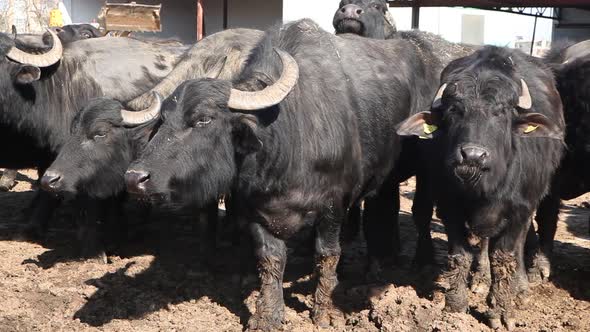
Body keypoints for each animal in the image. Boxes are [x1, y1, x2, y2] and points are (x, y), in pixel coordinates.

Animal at [125, 20, 440, 330]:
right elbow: (270, 259)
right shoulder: (254, 208)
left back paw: (379, 267)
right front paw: (268, 315)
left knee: (382, 215)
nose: (134, 177)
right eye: (163, 121)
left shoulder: (333, 205)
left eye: (203, 119)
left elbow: (327, 254)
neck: (287, 144)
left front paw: (323, 312)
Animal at [398, 44, 564, 330]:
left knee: (519, 242)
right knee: (484, 241)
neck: (484, 188)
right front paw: (455, 304)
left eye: (501, 111)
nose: (472, 156)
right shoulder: (449, 206)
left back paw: (519, 287)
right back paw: (481, 279)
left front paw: (501, 310)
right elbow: (460, 254)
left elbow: (504, 258)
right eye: (454, 111)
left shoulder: (518, 209)